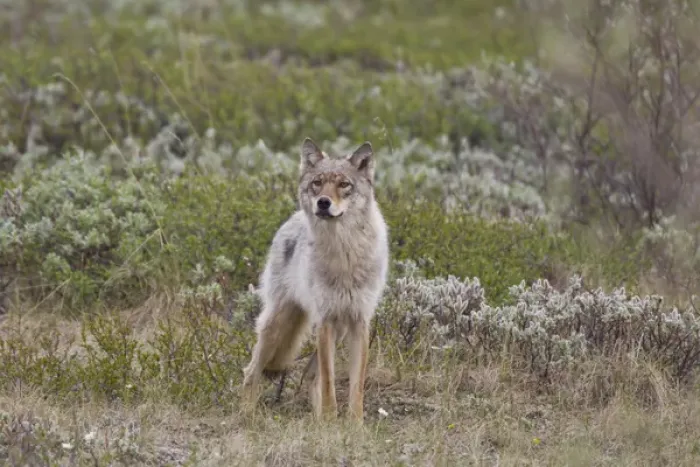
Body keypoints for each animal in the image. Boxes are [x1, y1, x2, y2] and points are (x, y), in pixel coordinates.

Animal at [241, 137, 389, 422]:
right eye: (317, 183)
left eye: (344, 185)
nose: (323, 203)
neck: (344, 255)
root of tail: (291, 219)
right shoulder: (325, 320)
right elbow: (330, 380)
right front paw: (331, 420)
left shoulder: (359, 322)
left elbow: (356, 384)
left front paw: (354, 424)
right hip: (278, 324)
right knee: (252, 370)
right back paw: (248, 415)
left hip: (336, 330)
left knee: (310, 375)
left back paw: (317, 418)